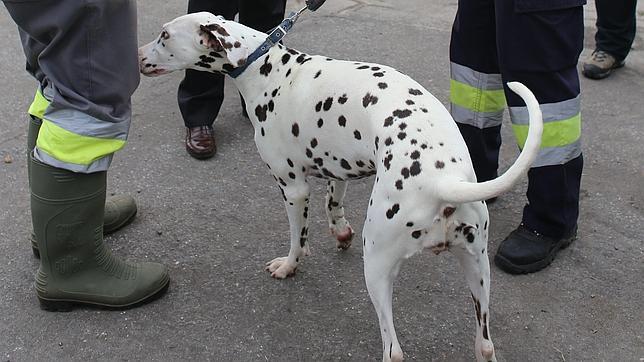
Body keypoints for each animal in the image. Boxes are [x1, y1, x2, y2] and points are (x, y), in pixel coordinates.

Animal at [140, 12, 544, 362]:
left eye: (164, 36)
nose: (139, 56)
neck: (268, 70)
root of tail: (442, 182)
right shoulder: (338, 168)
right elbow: (333, 205)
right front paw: (340, 231)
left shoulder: (293, 188)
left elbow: (298, 240)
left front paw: (289, 266)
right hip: (478, 272)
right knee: (485, 346)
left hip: (377, 266)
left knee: (393, 350)